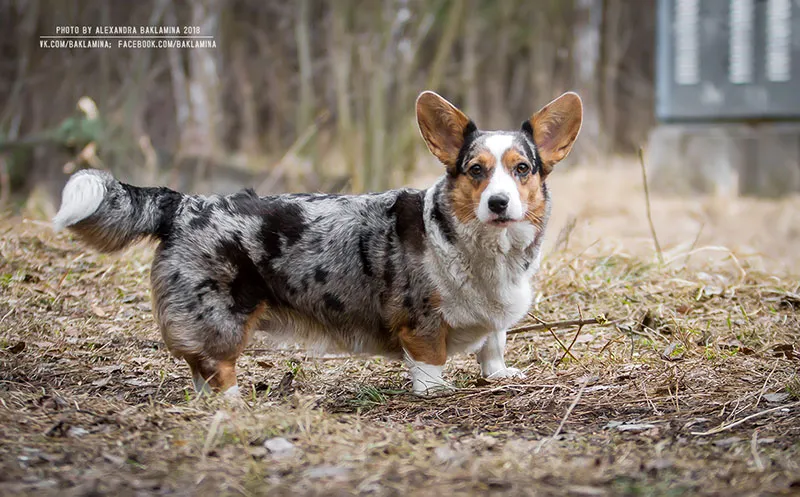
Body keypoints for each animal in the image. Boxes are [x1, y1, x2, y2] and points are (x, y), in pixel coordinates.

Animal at [53, 91, 584, 398]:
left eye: (522, 169)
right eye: (476, 171)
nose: (498, 203)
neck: (484, 245)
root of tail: (184, 204)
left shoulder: (494, 318)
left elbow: (493, 343)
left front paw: (499, 374)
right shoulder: (421, 322)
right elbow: (430, 364)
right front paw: (436, 391)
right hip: (221, 316)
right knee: (212, 366)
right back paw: (235, 404)